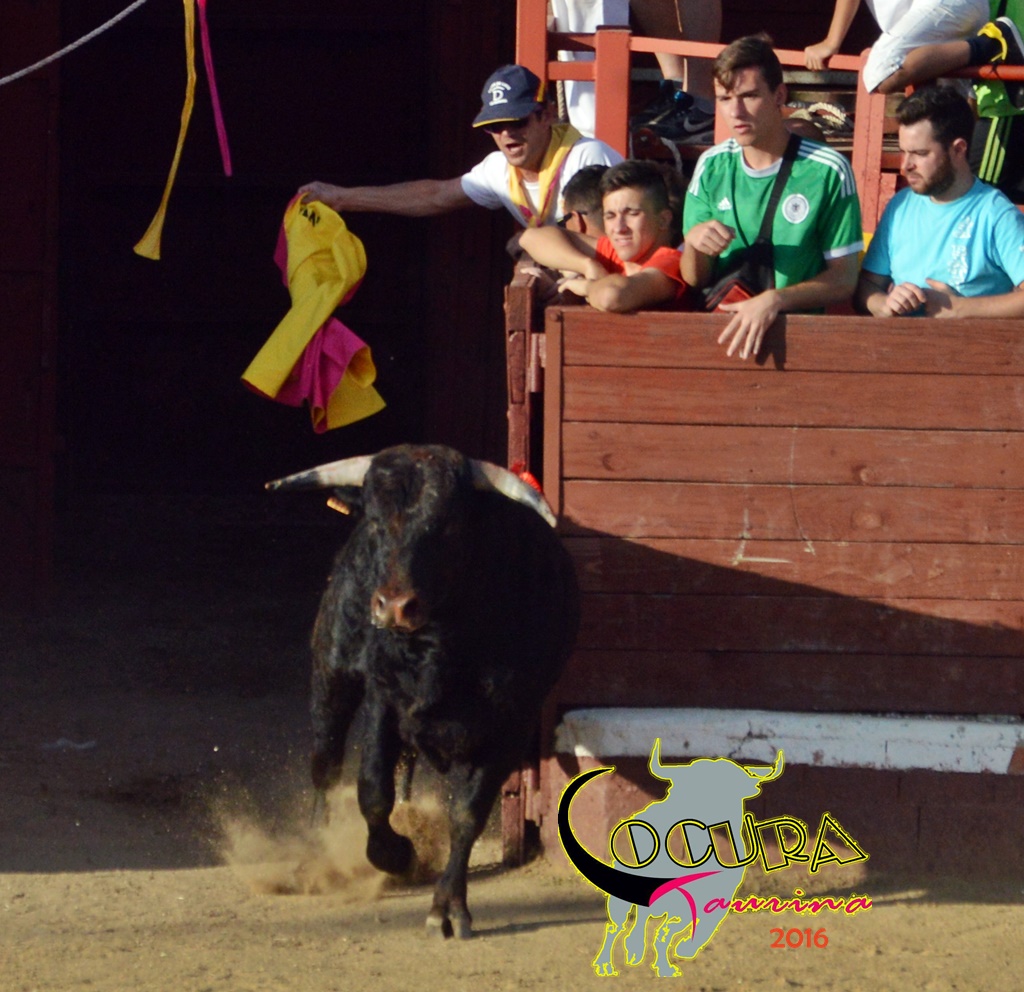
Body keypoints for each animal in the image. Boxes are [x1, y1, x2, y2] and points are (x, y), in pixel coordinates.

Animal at [266, 444, 580, 938]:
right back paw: (313, 857)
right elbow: (372, 790)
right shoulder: (383, 699)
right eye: (376, 520)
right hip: (332, 671)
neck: (442, 646)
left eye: (447, 526)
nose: (394, 607)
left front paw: (447, 907)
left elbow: (467, 814)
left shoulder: (513, 722)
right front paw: (396, 854)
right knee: (327, 762)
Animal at [559, 741, 784, 976]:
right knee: (617, 925)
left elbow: (694, 927)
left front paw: (682, 950)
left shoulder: (718, 895)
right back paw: (606, 963)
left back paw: (635, 950)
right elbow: (662, 931)